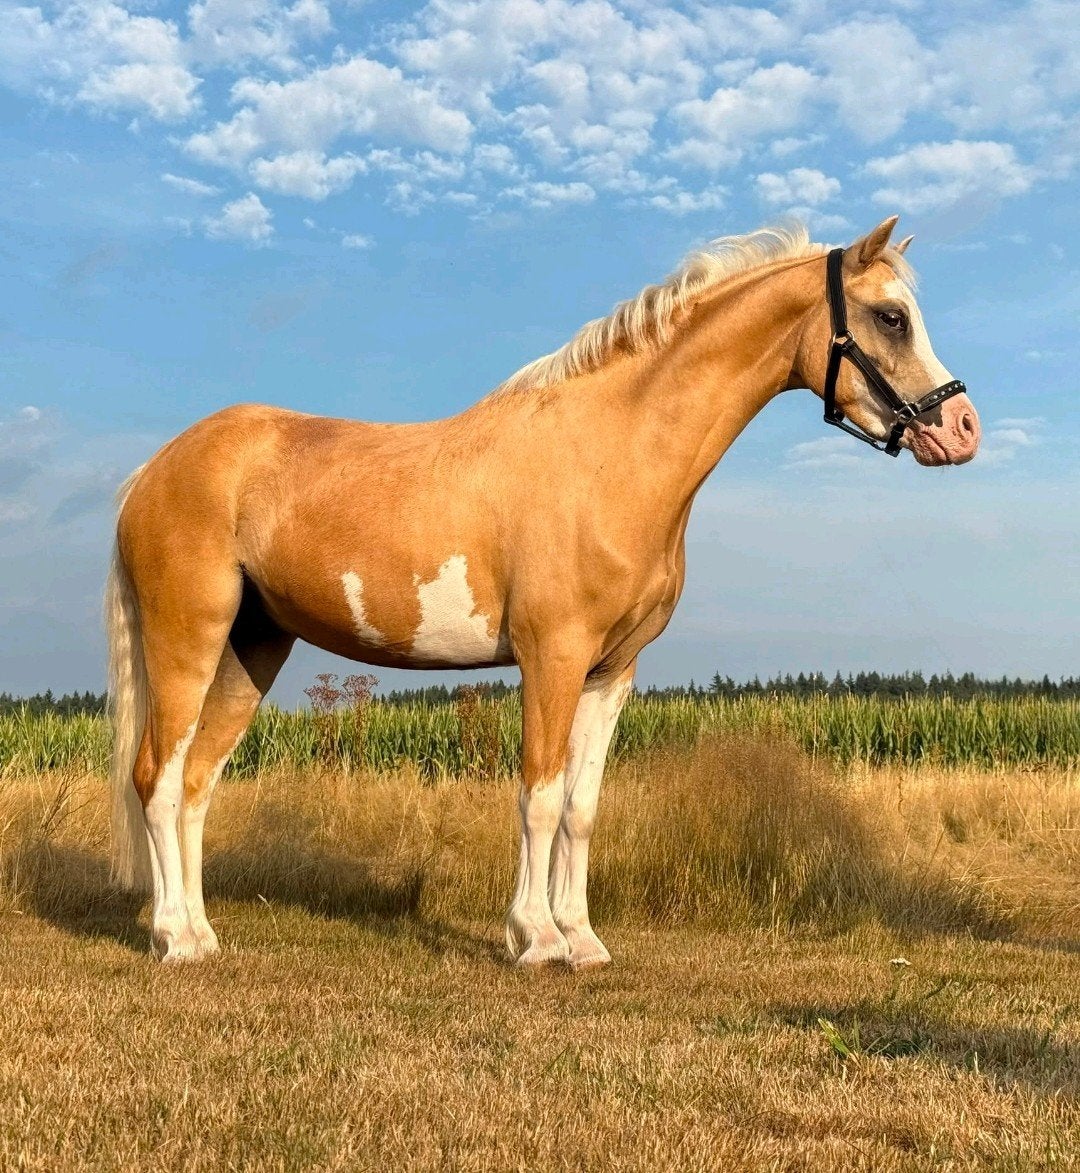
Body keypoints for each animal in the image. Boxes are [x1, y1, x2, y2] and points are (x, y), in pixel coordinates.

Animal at [105, 215, 980, 964]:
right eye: (891, 317)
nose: (963, 428)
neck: (610, 452)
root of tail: (150, 472)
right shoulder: (551, 657)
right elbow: (539, 795)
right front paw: (536, 938)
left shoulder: (611, 669)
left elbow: (582, 807)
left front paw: (582, 938)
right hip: (188, 638)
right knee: (156, 778)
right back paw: (174, 937)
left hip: (253, 646)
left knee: (195, 782)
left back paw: (202, 931)